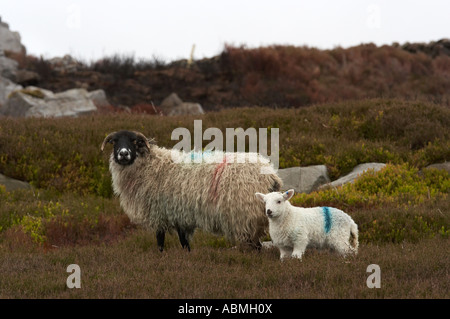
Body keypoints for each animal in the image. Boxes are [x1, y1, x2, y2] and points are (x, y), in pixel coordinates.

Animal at [102, 130, 282, 252]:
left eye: (134, 141)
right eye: (115, 142)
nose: (123, 154)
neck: (152, 167)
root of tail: (271, 175)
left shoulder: (161, 212)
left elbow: (161, 240)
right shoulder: (178, 214)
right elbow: (183, 241)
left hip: (246, 216)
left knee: (254, 245)